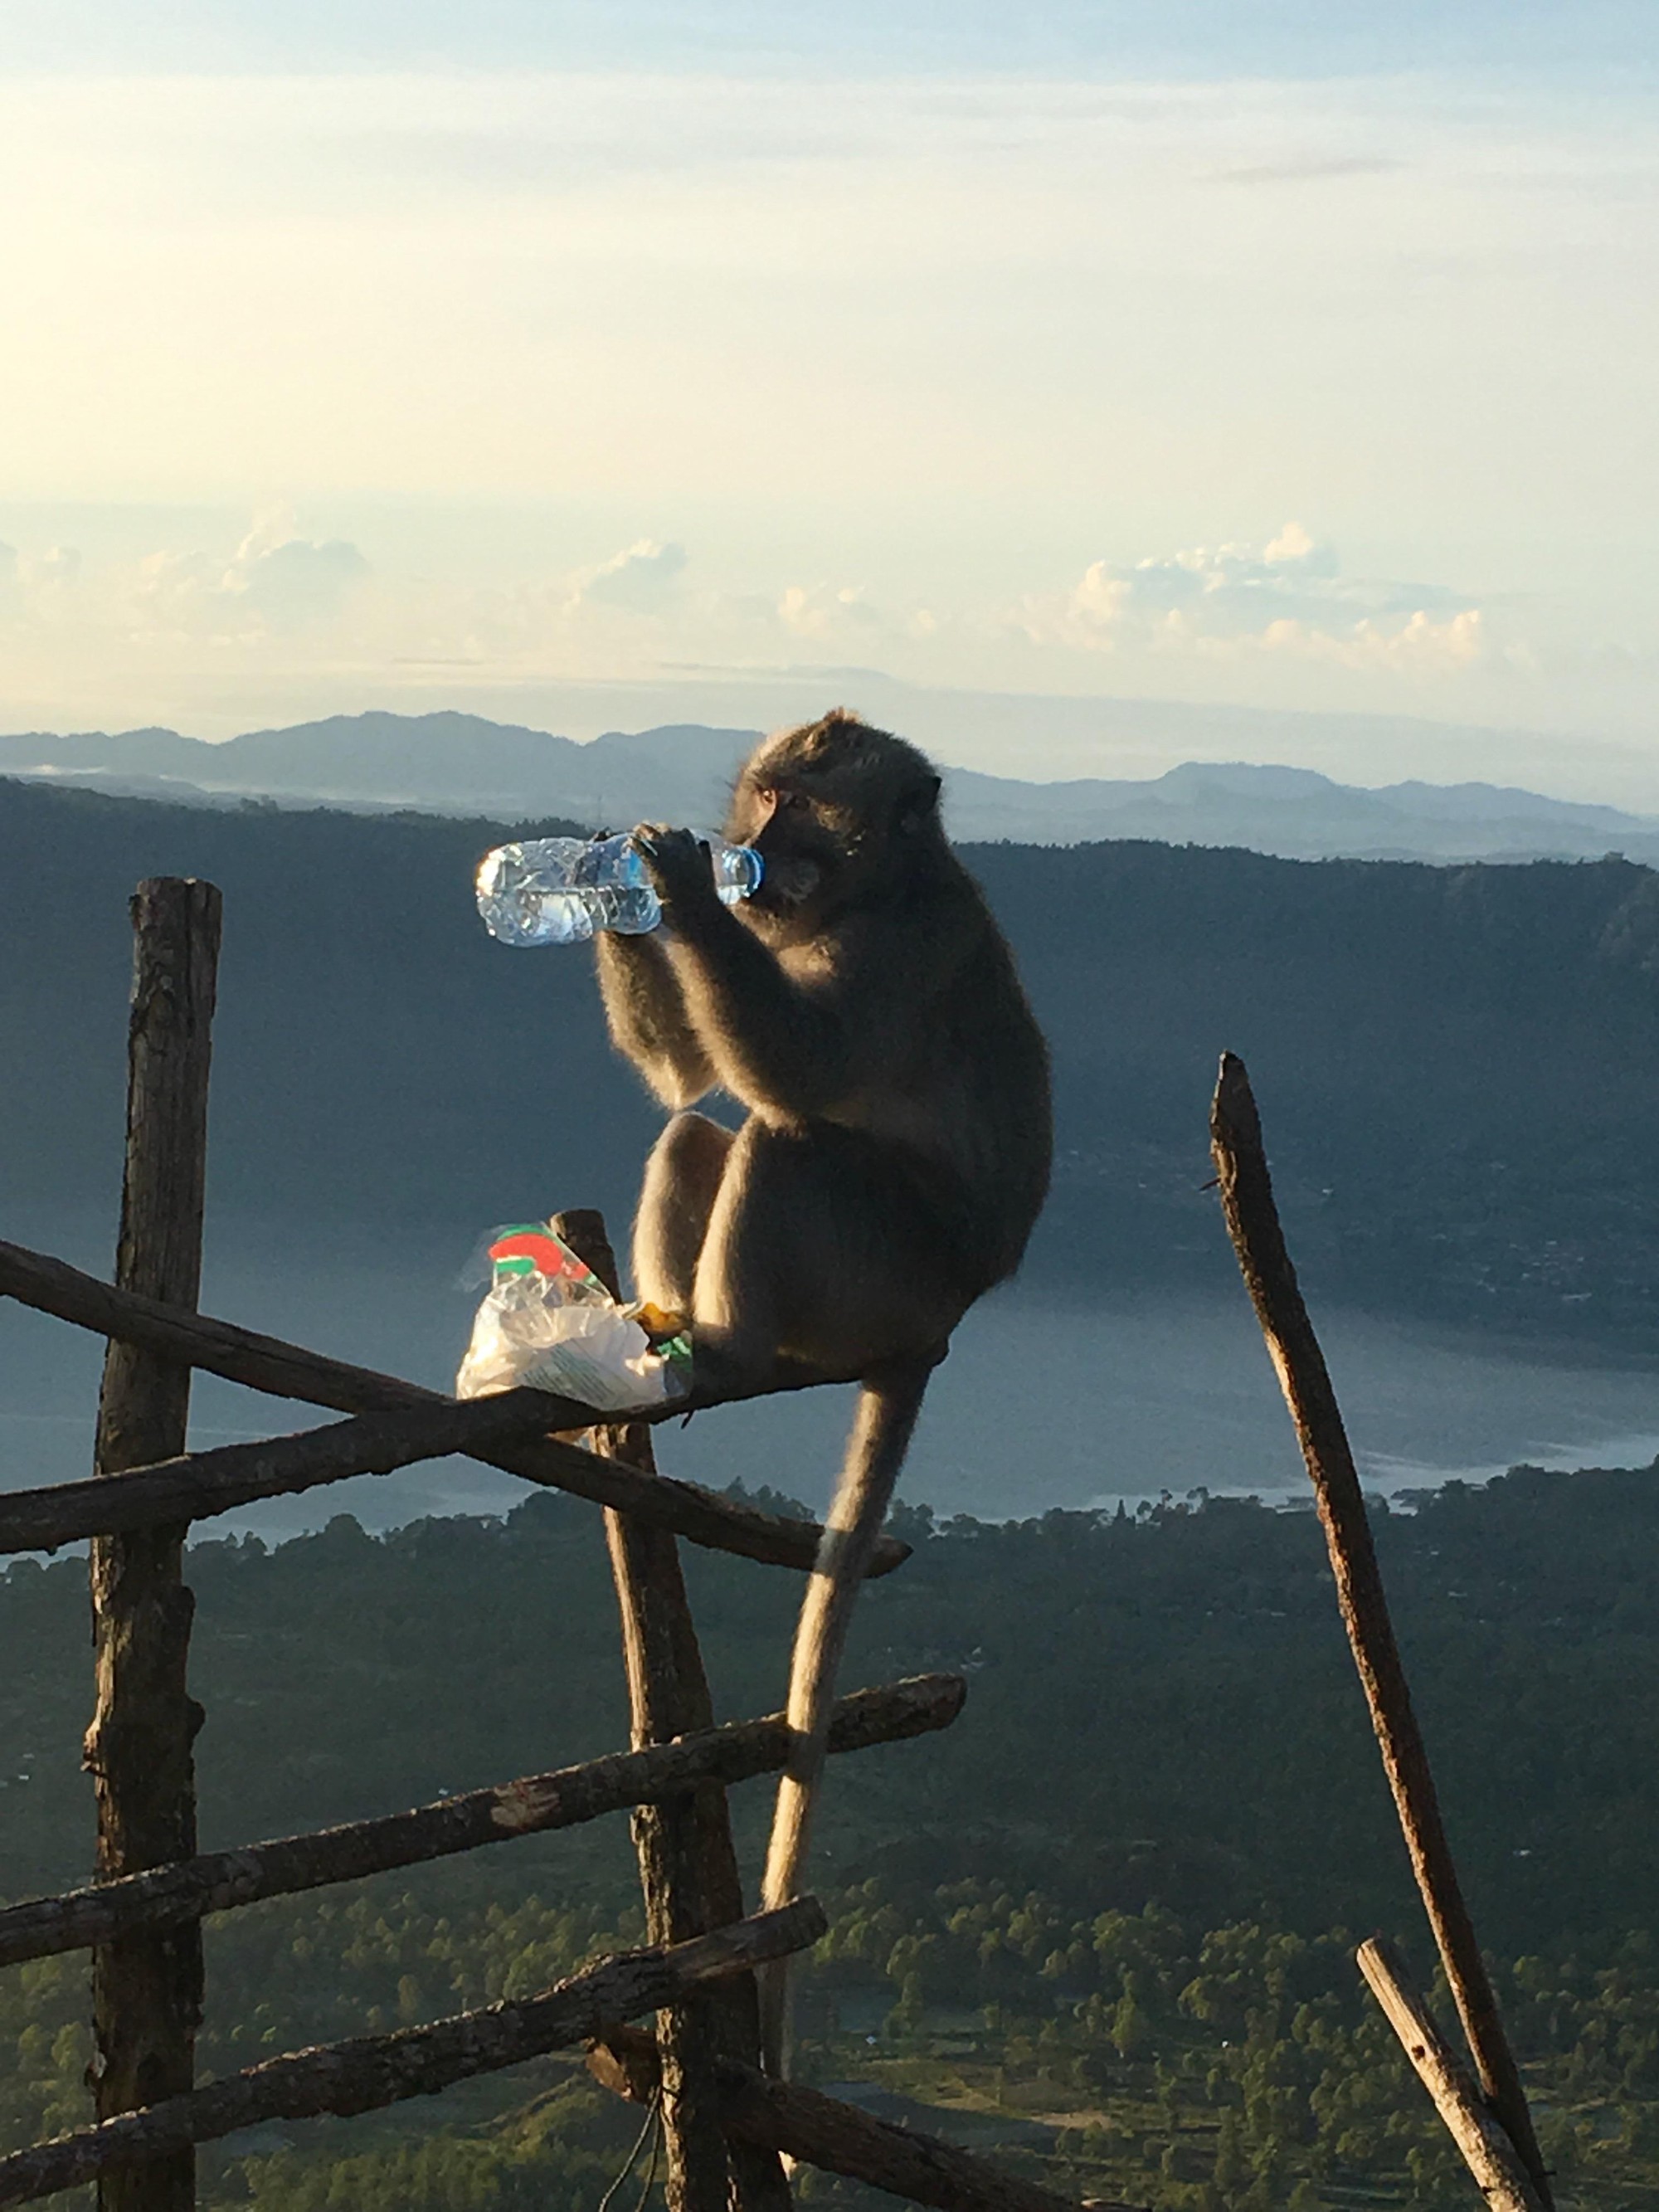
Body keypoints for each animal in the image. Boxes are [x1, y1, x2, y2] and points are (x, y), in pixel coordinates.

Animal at [597, 712, 1053, 2070]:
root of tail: (946, 1321)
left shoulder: (892, 950)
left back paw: (731, 1351)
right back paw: (668, 1335)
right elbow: (687, 1075)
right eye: (763, 795)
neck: (868, 888)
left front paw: (675, 885)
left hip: (878, 1271)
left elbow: (800, 1070)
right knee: (699, 1129)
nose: (749, 846)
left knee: (786, 1140)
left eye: (801, 804)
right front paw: (622, 898)